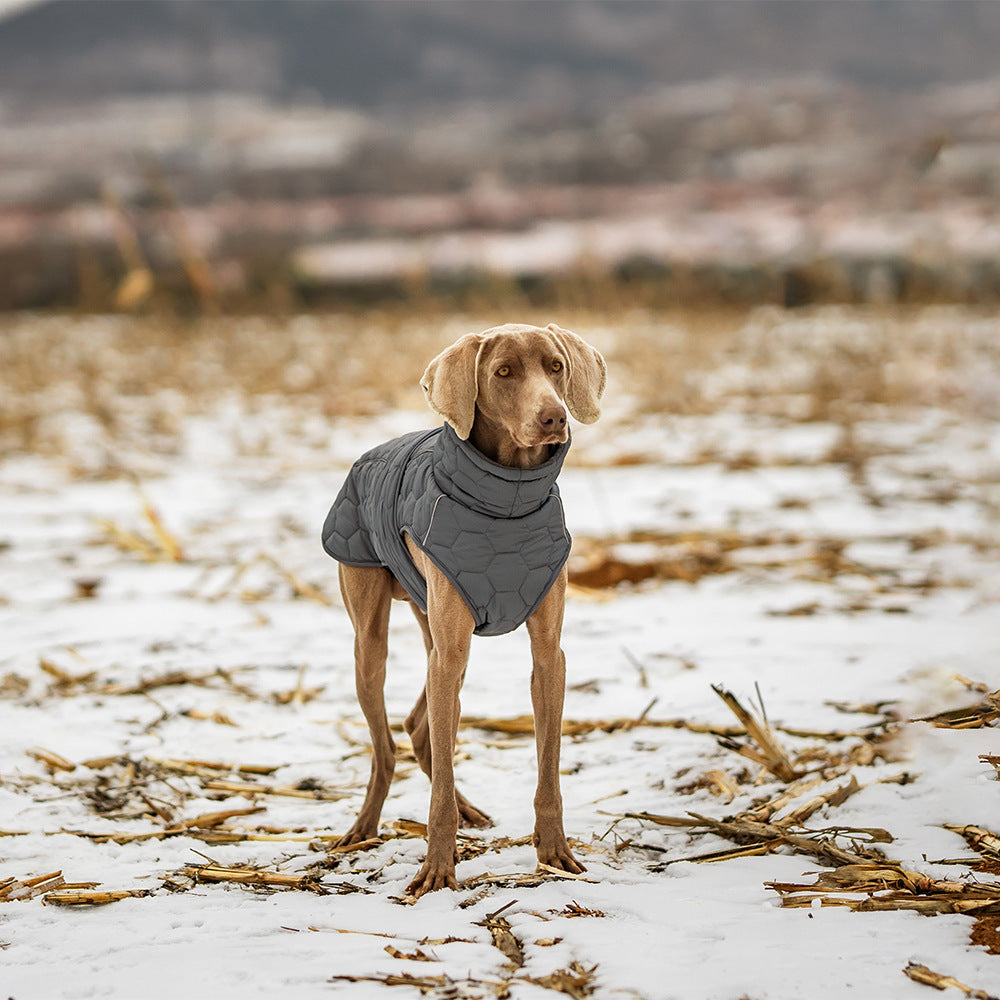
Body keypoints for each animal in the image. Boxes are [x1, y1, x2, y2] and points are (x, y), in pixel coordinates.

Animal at [322, 322, 600, 900]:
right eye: (503, 372)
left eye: (556, 366)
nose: (554, 417)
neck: (507, 506)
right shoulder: (449, 649)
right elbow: (438, 785)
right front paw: (437, 869)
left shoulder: (548, 657)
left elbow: (548, 766)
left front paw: (555, 852)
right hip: (374, 642)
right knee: (386, 744)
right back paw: (363, 828)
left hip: (438, 628)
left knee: (417, 725)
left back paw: (467, 810)